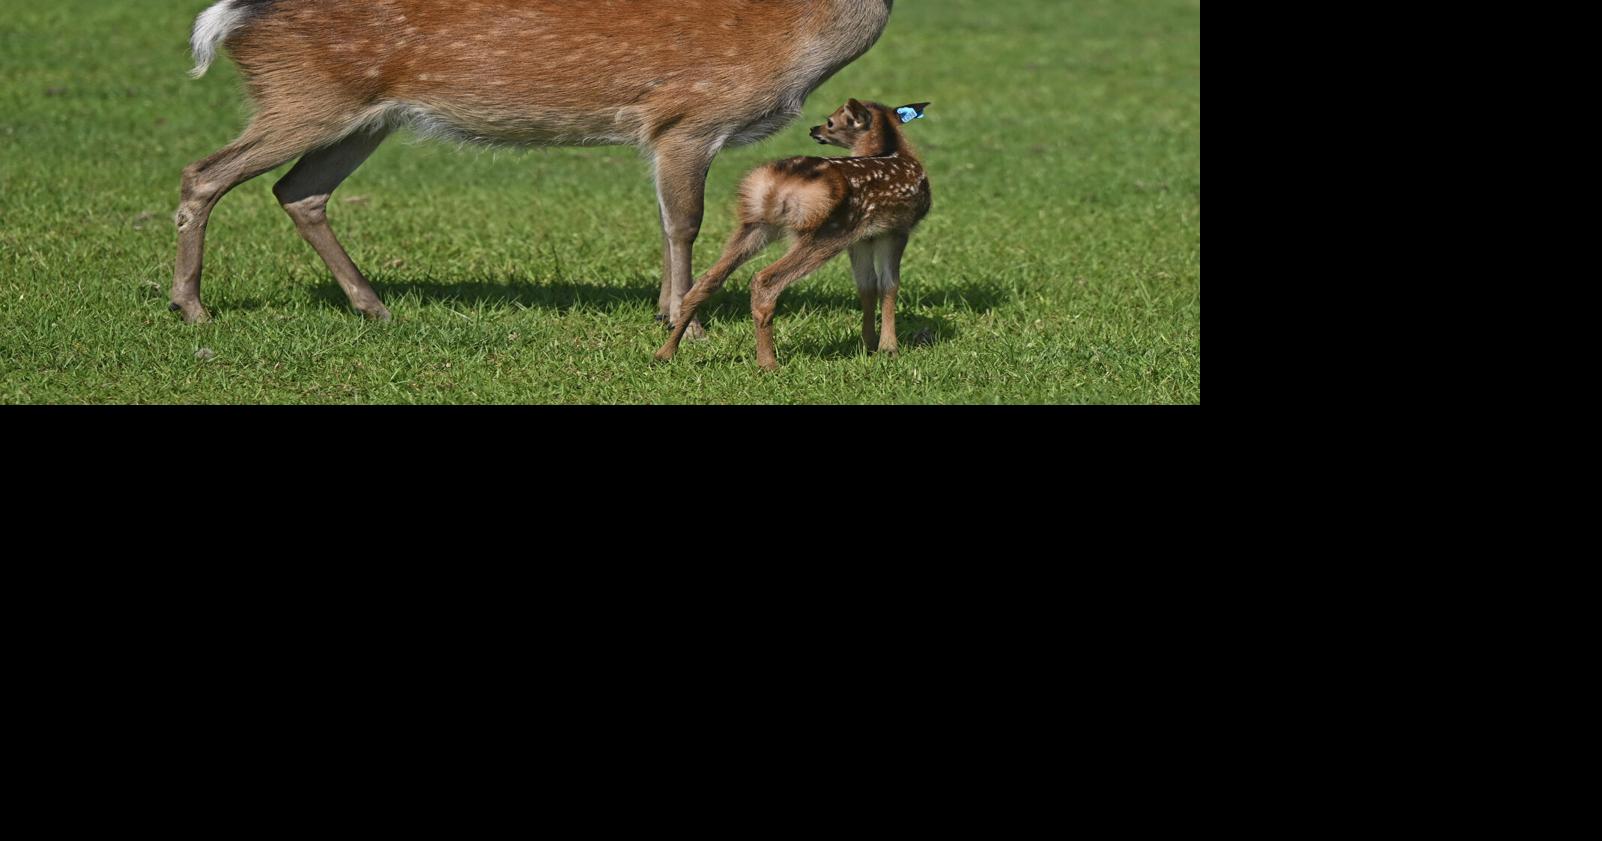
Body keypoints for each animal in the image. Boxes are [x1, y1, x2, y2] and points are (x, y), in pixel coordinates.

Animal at [171, 0, 895, 337]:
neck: (792, 39)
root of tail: (230, 19)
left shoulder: (666, 134)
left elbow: (664, 223)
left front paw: (665, 311)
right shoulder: (687, 117)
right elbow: (684, 223)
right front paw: (684, 322)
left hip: (363, 117)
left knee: (299, 190)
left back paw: (374, 307)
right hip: (307, 97)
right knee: (205, 173)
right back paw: (192, 307)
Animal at [654, 99, 930, 370]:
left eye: (831, 122)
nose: (814, 129)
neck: (894, 151)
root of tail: (775, 187)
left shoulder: (862, 238)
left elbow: (868, 286)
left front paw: (870, 343)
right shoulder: (897, 229)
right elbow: (889, 285)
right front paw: (889, 349)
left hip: (756, 225)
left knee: (706, 281)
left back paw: (666, 352)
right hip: (826, 231)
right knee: (765, 280)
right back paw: (768, 363)